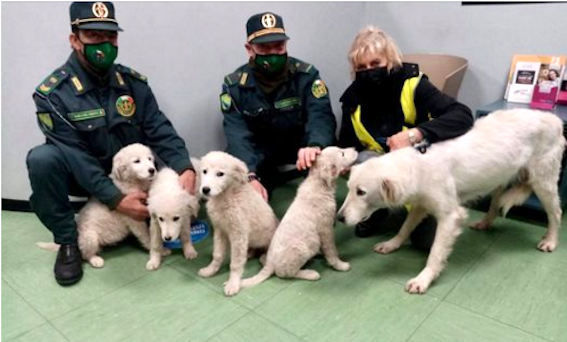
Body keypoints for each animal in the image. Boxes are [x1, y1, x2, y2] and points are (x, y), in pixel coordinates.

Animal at [197, 151, 280, 296]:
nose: (205, 189)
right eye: (204, 171)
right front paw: (210, 270)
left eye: (220, 174)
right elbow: (217, 255)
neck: (224, 197)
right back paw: (249, 253)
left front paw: (233, 284)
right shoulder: (220, 229)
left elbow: (235, 263)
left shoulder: (238, 234)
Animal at [241, 147, 358, 288]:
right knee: (284, 273)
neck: (318, 183)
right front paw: (340, 265)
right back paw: (310, 273)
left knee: (267, 261)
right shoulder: (326, 230)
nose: (355, 148)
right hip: (301, 248)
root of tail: (270, 264)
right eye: (342, 154)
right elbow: (331, 251)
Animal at [338, 109, 564, 294]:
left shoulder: (450, 217)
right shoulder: (421, 204)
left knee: (556, 213)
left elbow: (435, 253)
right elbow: (405, 228)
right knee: (495, 205)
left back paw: (550, 241)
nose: (339, 218)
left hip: (543, 181)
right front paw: (391, 244)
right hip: (499, 177)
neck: (418, 166)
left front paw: (423, 279)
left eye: (361, 192)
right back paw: (485, 223)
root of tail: (555, 120)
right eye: (349, 188)